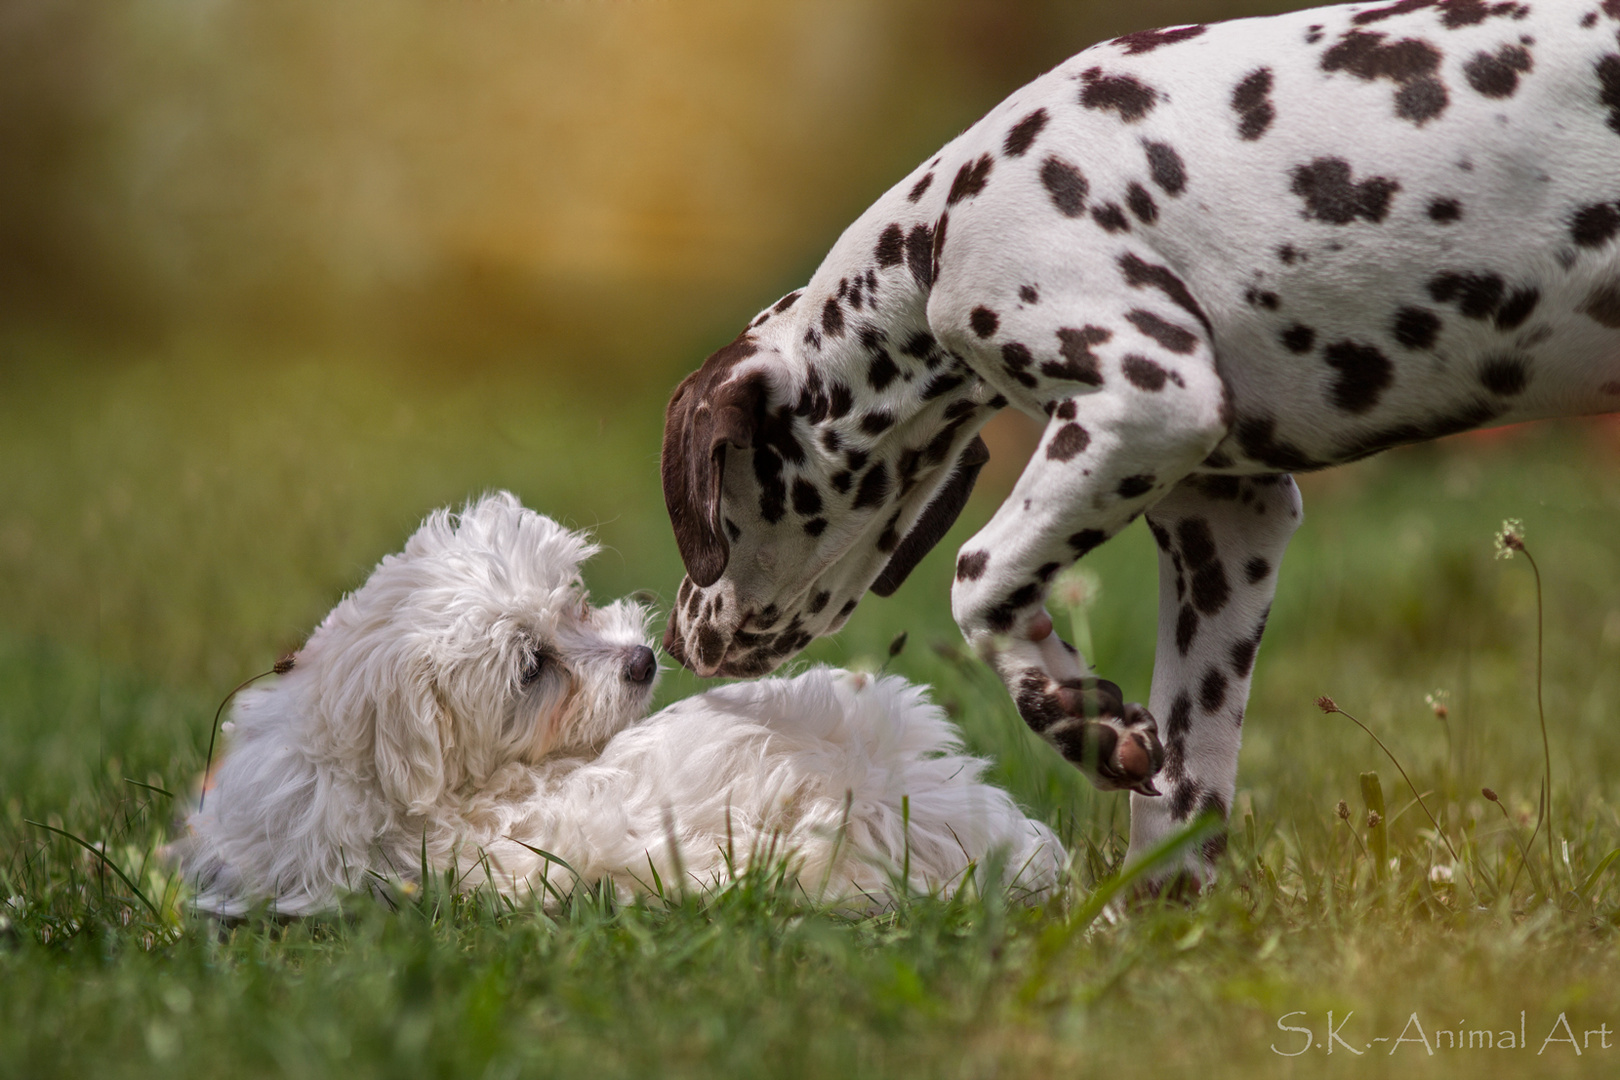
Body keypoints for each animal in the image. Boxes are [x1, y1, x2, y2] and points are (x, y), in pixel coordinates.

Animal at [657, 2, 1620, 887]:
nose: (673, 637)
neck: (941, 225)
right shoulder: (1226, 521)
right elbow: (1182, 798)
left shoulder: (1149, 401)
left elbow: (980, 581)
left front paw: (1070, 712)